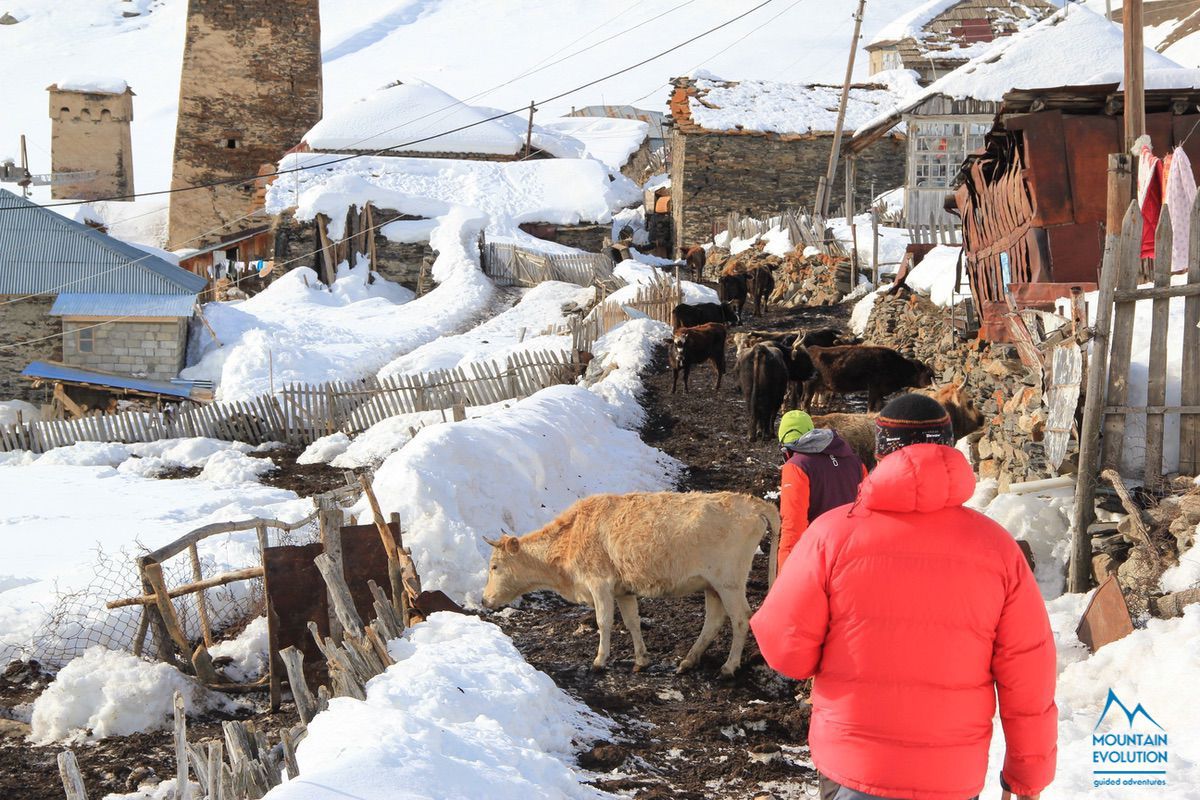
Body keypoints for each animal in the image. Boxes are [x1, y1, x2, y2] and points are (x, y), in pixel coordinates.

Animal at [477, 491, 777, 681]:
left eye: (494, 566)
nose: (484, 600)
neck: (571, 537)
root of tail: (751, 502)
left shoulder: (599, 583)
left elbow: (604, 622)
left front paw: (599, 661)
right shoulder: (623, 590)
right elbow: (632, 621)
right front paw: (641, 660)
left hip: (729, 582)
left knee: (741, 619)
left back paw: (728, 667)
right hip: (712, 585)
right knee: (714, 621)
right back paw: (688, 661)